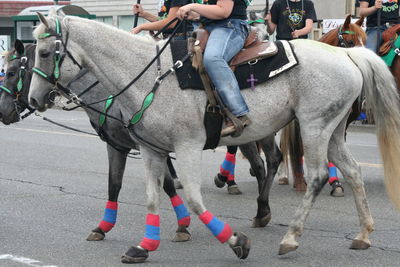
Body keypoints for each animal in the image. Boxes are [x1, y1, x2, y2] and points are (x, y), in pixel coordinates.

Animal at [29, 12, 400, 264]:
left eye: (45, 53)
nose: (33, 100)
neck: (149, 75)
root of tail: (347, 54)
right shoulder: (150, 150)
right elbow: (152, 197)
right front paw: (144, 245)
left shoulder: (187, 147)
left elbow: (193, 199)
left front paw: (236, 241)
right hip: (333, 129)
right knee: (352, 172)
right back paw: (363, 233)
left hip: (314, 126)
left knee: (317, 176)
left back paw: (290, 237)